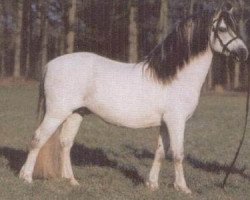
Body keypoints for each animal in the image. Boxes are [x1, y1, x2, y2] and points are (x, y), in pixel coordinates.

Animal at [19, 3, 248, 194]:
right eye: (222, 29)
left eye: (234, 27)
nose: (243, 53)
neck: (174, 78)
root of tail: (50, 64)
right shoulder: (176, 122)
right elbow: (178, 154)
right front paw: (183, 188)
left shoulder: (165, 123)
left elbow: (160, 152)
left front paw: (152, 184)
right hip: (56, 113)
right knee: (37, 139)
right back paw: (26, 178)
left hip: (75, 113)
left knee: (65, 143)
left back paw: (72, 181)